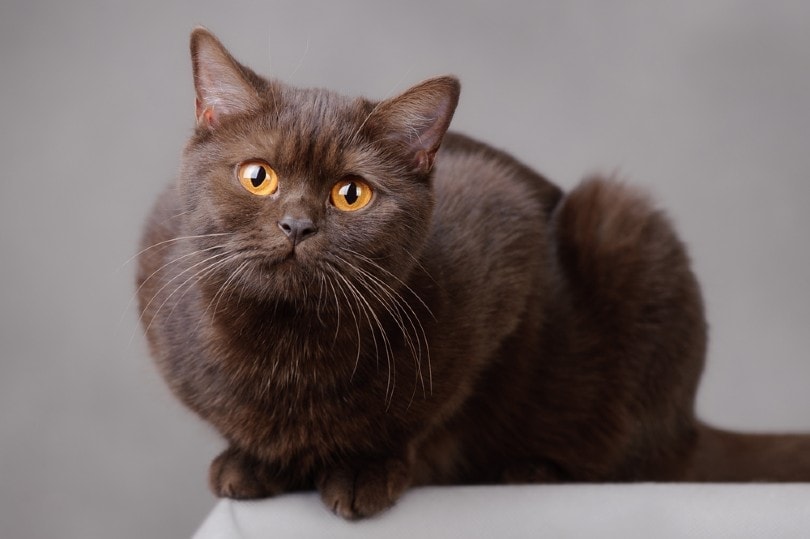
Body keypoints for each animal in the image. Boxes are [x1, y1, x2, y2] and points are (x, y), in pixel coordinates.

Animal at [136, 27, 808, 520]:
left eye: (352, 194)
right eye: (258, 176)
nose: (297, 225)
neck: (286, 345)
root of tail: (692, 426)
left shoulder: (505, 233)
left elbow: (434, 408)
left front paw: (364, 469)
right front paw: (253, 461)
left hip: (622, 222)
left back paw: (530, 471)